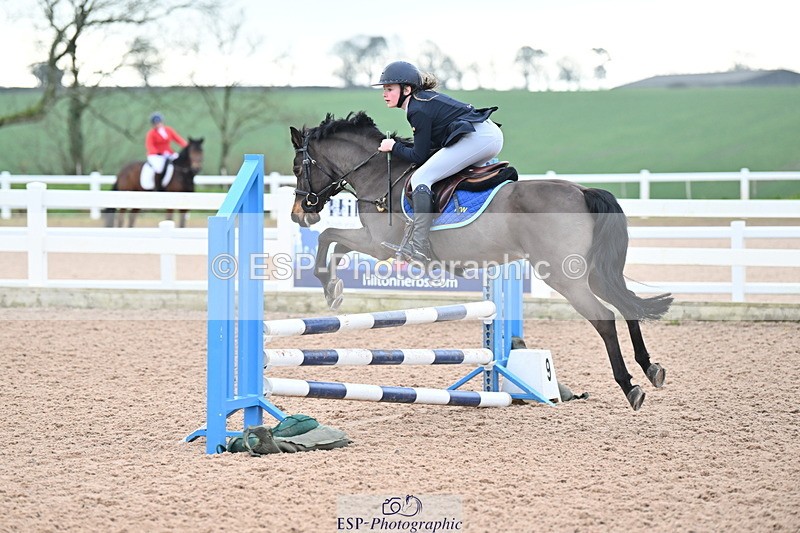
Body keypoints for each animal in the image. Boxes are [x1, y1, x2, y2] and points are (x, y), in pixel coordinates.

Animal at [287, 111, 674, 411]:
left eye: (296, 167)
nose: (298, 215)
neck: (378, 174)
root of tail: (582, 191)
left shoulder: (378, 243)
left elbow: (328, 236)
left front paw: (329, 287)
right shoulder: (371, 242)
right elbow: (335, 244)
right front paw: (335, 288)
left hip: (564, 277)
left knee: (605, 317)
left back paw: (630, 386)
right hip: (591, 273)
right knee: (627, 305)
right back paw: (651, 370)